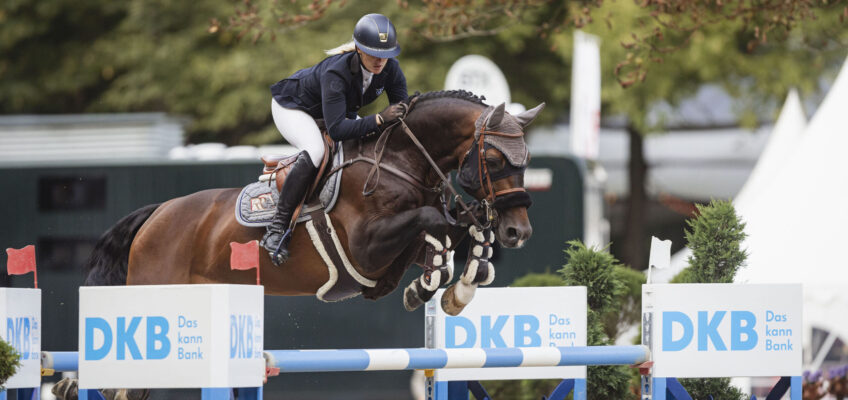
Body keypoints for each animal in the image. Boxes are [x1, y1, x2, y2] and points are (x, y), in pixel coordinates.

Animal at [81, 90, 544, 316]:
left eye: (527, 160)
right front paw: (432, 284)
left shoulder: (389, 257)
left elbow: (452, 232)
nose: (518, 232)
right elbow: (436, 221)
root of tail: (155, 216)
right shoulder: (365, 248)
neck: (399, 161)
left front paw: (456, 284)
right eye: (493, 160)